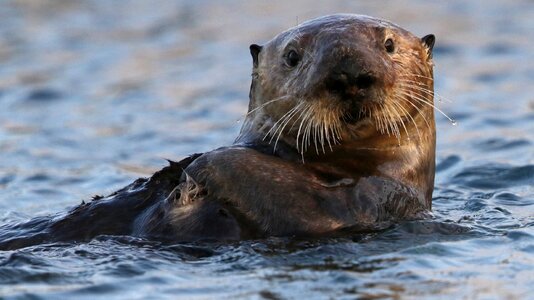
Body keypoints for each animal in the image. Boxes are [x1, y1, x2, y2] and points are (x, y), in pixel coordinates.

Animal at [0, 13, 440, 248]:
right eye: (293, 56)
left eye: (388, 45)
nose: (349, 75)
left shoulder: (383, 198)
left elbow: (313, 206)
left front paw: (198, 167)